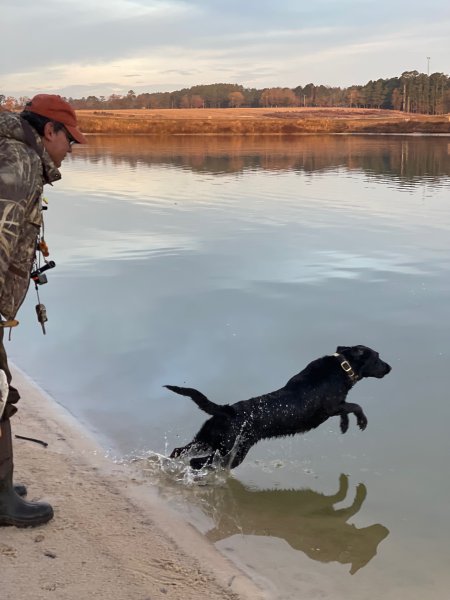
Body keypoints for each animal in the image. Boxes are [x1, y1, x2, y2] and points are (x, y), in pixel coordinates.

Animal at [165, 346, 390, 468]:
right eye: (377, 357)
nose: (390, 367)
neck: (341, 368)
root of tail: (226, 410)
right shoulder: (331, 407)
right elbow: (355, 405)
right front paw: (362, 422)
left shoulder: (337, 407)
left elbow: (347, 409)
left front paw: (344, 425)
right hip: (231, 451)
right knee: (199, 463)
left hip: (205, 440)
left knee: (179, 451)